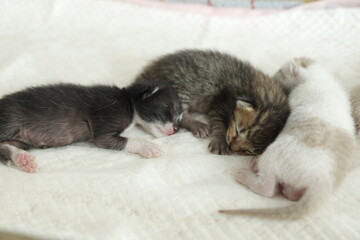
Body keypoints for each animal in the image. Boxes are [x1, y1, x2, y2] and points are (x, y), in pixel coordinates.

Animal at [0, 80, 183, 172]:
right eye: (169, 111)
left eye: (179, 119)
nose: (175, 130)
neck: (128, 102)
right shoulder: (105, 124)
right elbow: (125, 140)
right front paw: (150, 147)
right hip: (9, 120)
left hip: (20, 140)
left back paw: (22, 160)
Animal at [135, 50, 290, 156]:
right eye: (238, 130)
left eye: (248, 151)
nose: (232, 147)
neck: (256, 87)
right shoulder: (221, 101)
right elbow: (219, 123)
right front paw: (220, 142)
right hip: (181, 86)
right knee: (180, 114)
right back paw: (197, 125)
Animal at [219, 57, 358, 218]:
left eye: (280, 71)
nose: (272, 77)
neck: (320, 78)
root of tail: (320, 183)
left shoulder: (295, 97)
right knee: (290, 193)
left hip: (273, 156)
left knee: (267, 188)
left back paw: (248, 172)